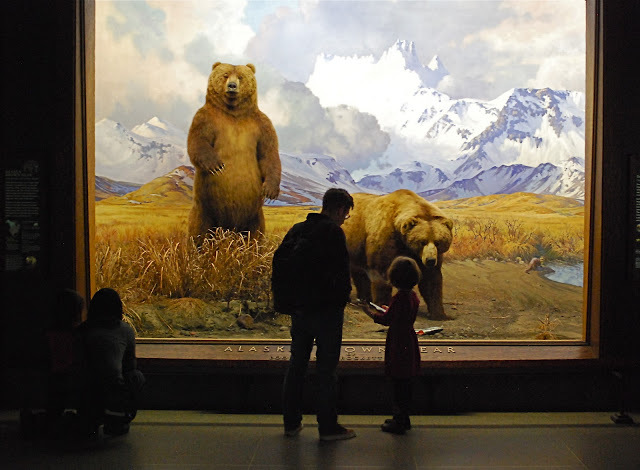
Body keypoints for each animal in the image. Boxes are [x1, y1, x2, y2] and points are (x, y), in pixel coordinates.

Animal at [188, 63, 282, 239]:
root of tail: (229, 228)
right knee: (199, 229)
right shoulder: (205, 118)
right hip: (205, 207)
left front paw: (270, 191)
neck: (233, 112)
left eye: (240, 77)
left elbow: (268, 154)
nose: (232, 86)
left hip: (254, 215)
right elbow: (198, 141)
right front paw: (217, 166)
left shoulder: (261, 125)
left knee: (256, 232)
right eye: (225, 75)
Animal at [342, 190, 452, 320]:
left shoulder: (424, 256)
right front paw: (382, 305)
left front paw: (439, 314)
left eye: (438, 242)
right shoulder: (386, 237)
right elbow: (381, 272)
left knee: (359, 272)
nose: (430, 260)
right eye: (422, 241)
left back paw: (364, 298)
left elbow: (431, 280)